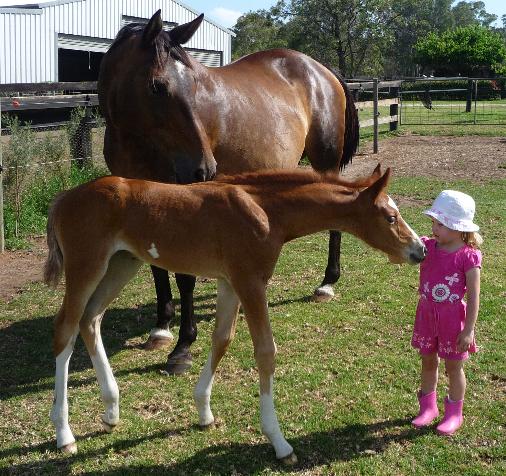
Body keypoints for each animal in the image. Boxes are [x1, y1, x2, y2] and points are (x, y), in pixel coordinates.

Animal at [43, 166, 424, 462]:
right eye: (390, 217)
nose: (419, 250)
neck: (266, 211)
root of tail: (63, 197)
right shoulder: (250, 281)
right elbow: (266, 352)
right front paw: (279, 442)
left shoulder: (228, 281)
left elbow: (222, 339)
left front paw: (204, 412)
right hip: (86, 266)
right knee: (65, 328)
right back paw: (64, 434)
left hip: (122, 264)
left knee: (90, 319)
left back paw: (111, 412)